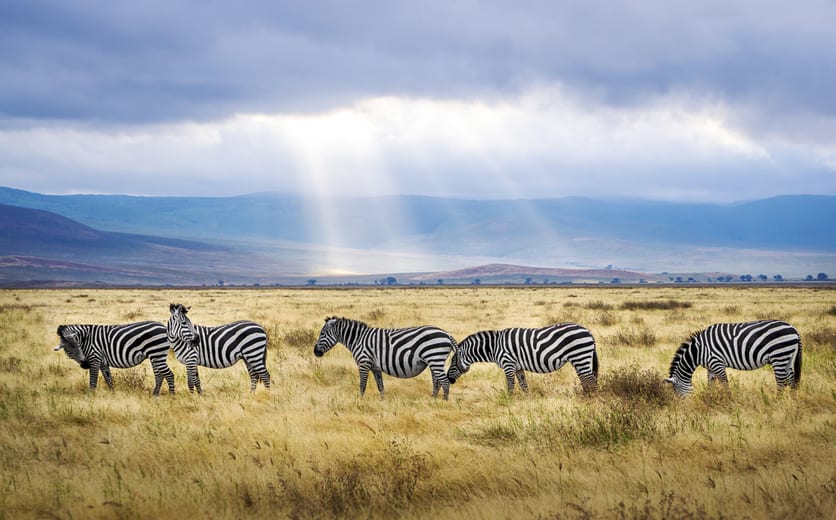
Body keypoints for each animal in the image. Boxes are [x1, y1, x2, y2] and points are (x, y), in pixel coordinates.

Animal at [313, 316, 456, 400]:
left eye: (322, 334)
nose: (315, 352)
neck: (358, 339)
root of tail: (446, 334)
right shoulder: (375, 367)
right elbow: (380, 385)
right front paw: (382, 401)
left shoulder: (363, 363)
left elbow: (362, 385)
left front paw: (360, 401)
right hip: (434, 361)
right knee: (437, 381)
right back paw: (433, 399)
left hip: (435, 358)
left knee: (445, 382)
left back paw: (443, 402)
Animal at [446, 323, 599, 394]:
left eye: (453, 362)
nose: (449, 379)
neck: (494, 347)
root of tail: (588, 331)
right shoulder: (518, 367)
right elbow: (524, 385)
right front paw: (527, 400)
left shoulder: (508, 364)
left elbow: (510, 385)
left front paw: (508, 401)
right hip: (580, 359)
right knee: (586, 380)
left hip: (580, 356)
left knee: (591, 380)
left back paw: (590, 400)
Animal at [664, 320, 802, 396]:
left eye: (677, 392)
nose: (682, 407)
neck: (698, 351)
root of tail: (794, 329)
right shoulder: (710, 367)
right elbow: (710, 385)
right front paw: (709, 399)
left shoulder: (717, 363)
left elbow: (725, 384)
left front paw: (729, 401)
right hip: (789, 358)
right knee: (792, 381)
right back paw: (794, 404)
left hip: (779, 356)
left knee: (781, 383)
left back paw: (776, 403)